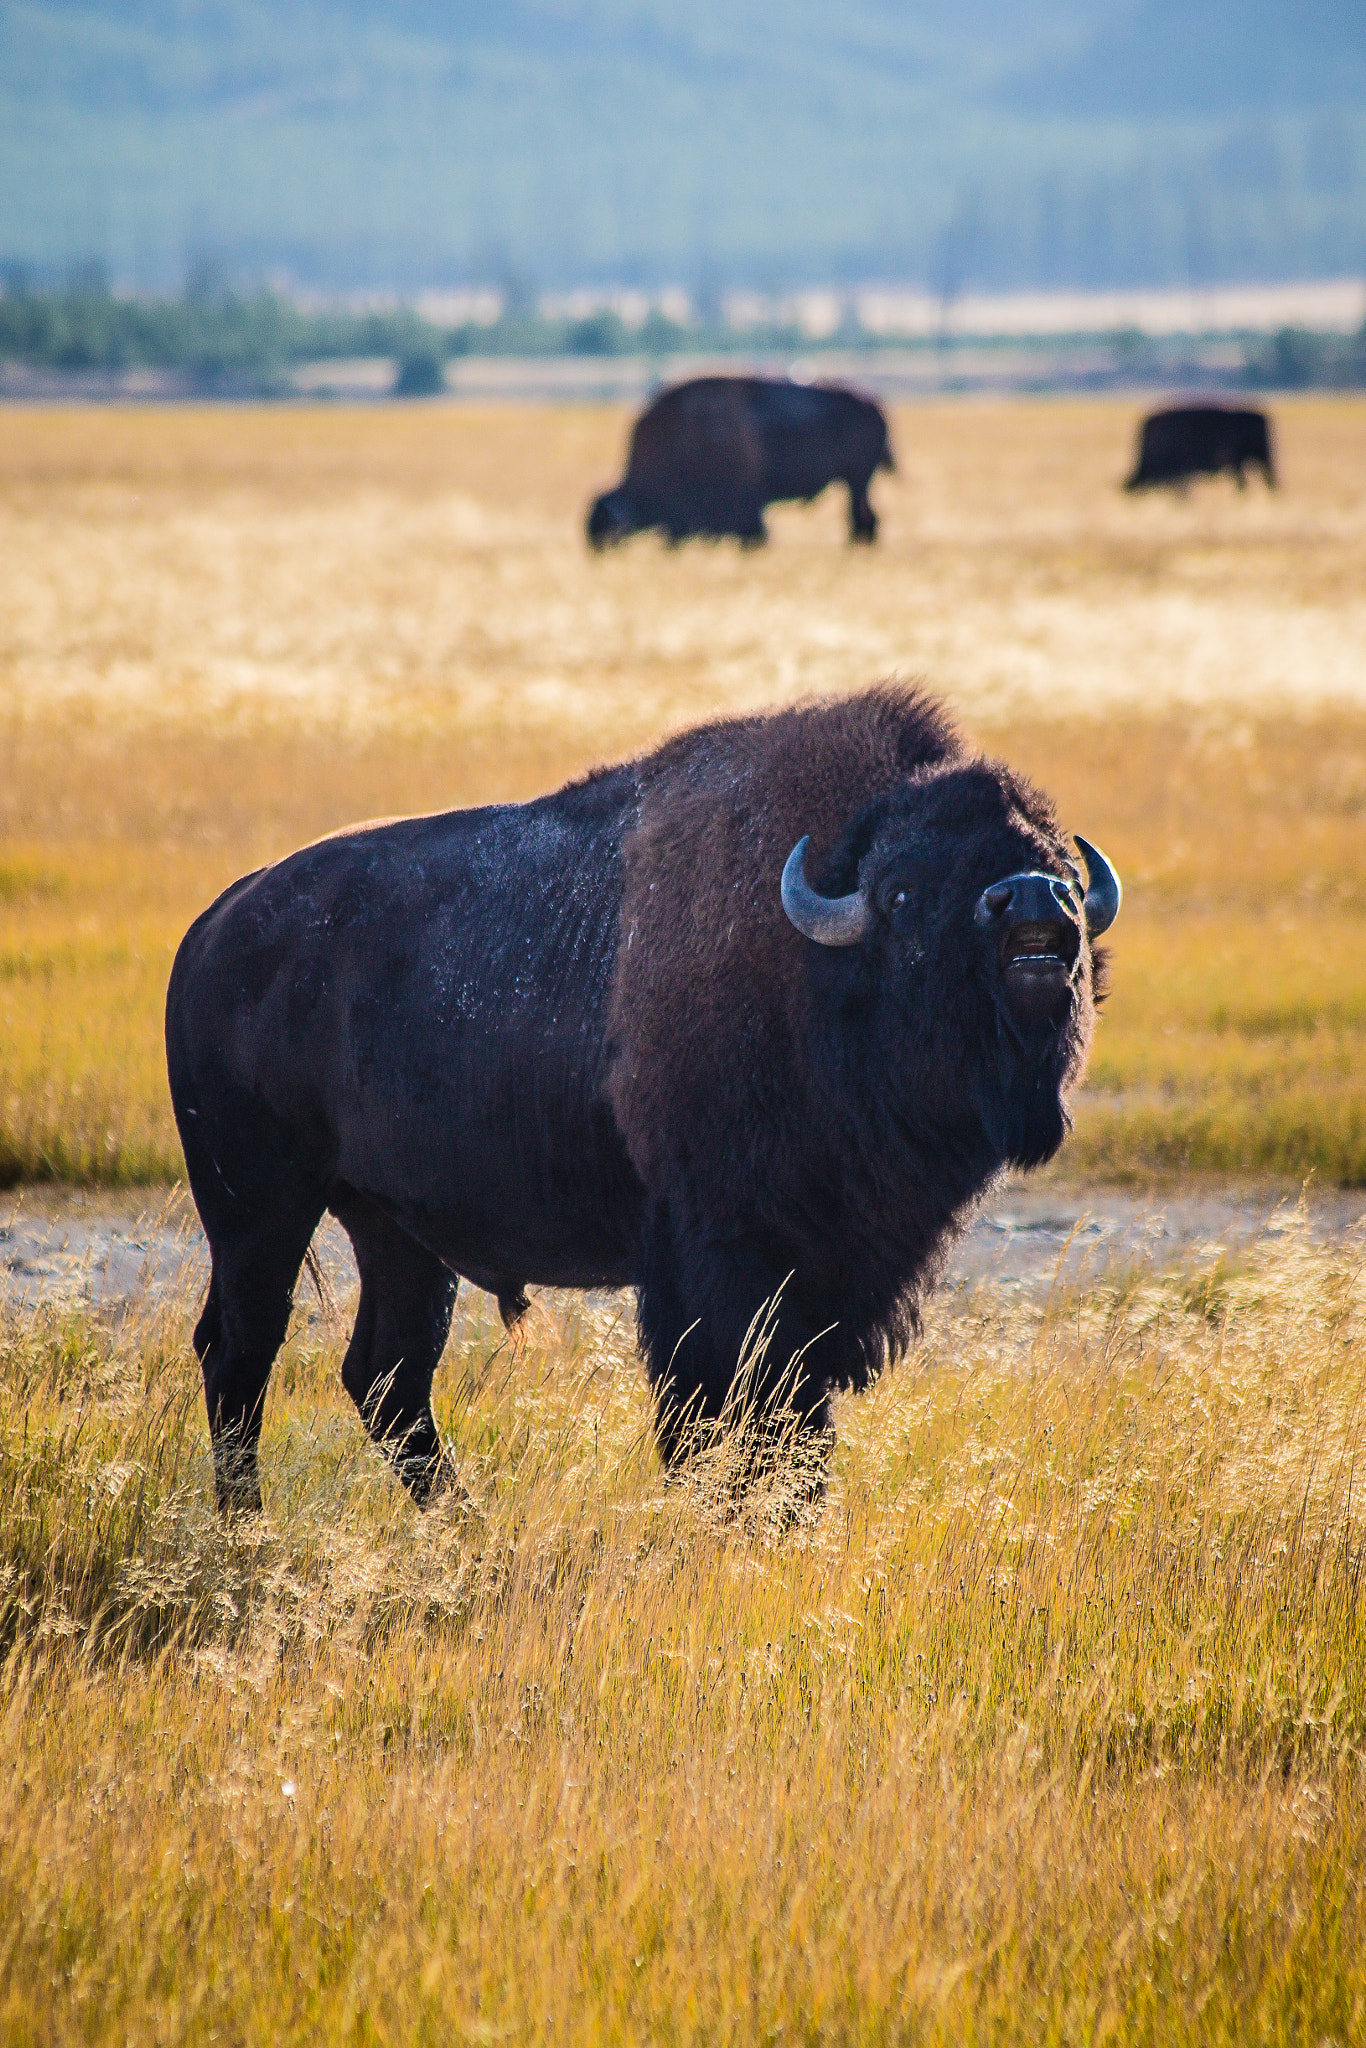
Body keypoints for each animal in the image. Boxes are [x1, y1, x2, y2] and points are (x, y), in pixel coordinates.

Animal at [165, 687, 1120, 1516]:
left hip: (394, 1231)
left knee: (386, 1376)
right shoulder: (716, 1264)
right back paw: (247, 1528)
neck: (815, 968)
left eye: (1057, 867)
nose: (1033, 903)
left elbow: (793, 1423)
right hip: (258, 1207)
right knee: (241, 1349)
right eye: (904, 891)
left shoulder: (834, 1276)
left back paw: (467, 1531)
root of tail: (214, 927)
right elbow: (719, 1415)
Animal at [587, 375, 894, 547]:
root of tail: (874, 405)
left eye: (606, 525)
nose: (594, 544)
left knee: (862, 517)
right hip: (856, 481)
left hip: (857, 479)